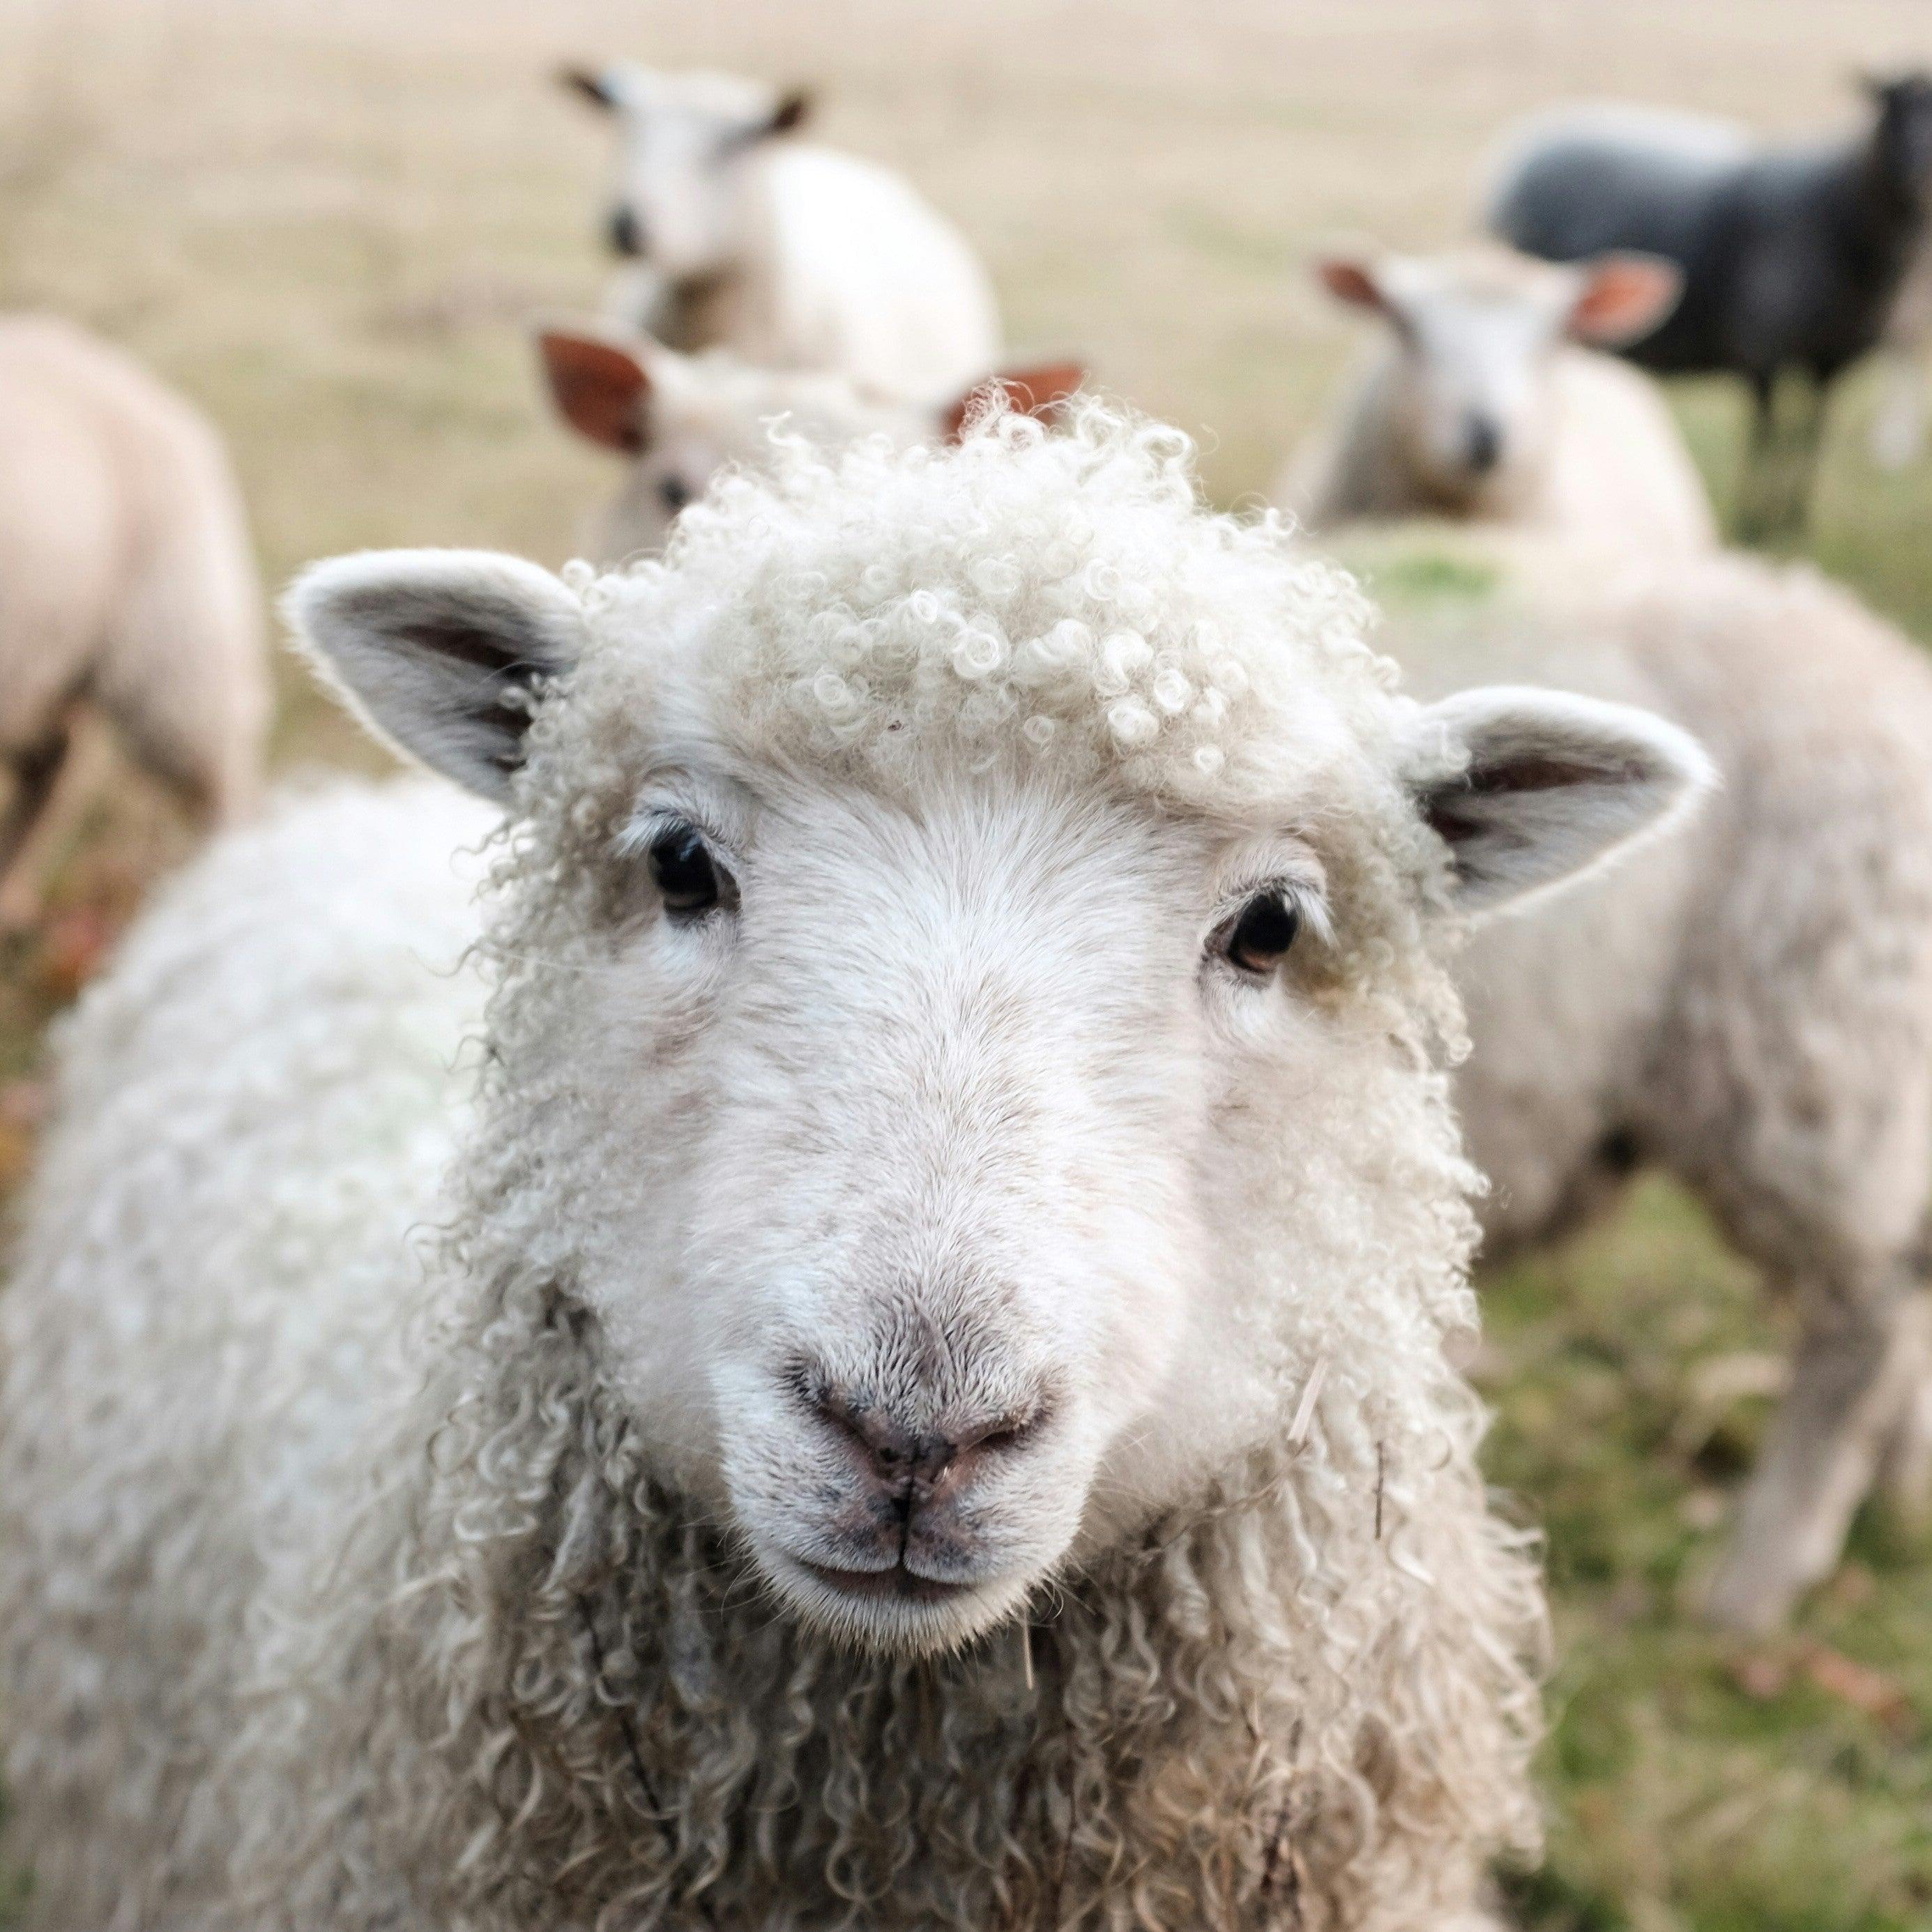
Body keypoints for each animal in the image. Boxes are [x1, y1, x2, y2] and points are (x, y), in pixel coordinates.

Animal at [1486, 77, 1932, 539]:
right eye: (1894, 108)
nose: (1920, 174)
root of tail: (1523, 144)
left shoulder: (1830, 361)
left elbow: (1808, 436)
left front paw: (1792, 518)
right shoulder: (1762, 352)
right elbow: (1766, 437)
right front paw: (1755, 518)